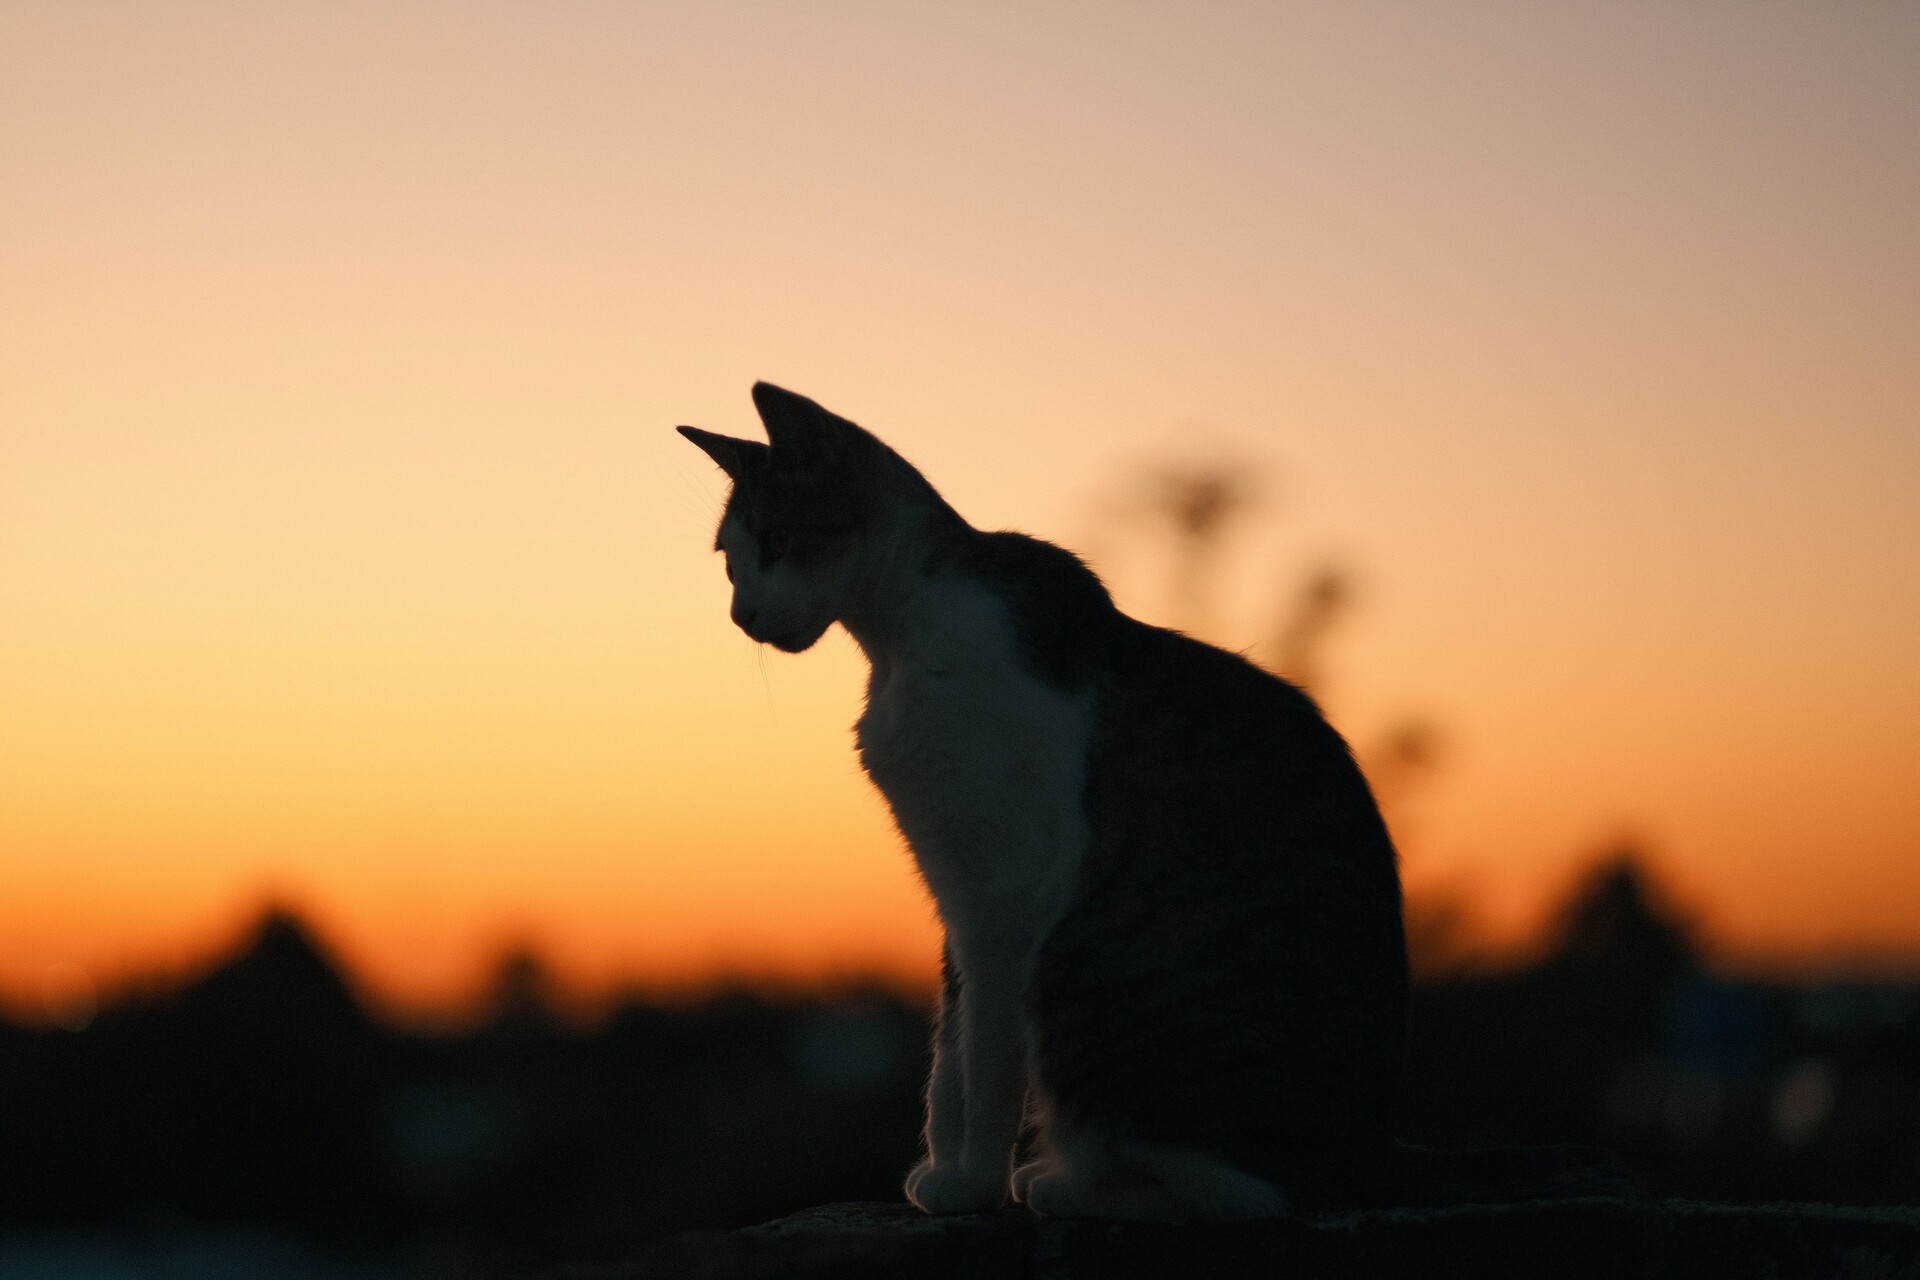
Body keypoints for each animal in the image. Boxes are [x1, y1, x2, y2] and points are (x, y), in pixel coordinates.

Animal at [675, 379, 1620, 1220]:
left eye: (778, 539)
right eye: (728, 558)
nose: (741, 615)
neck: (901, 635)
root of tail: (1369, 1143)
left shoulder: (1002, 893)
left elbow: (984, 1059)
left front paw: (971, 1183)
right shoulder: (954, 882)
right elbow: (949, 1048)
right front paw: (944, 1169)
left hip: (1076, 971)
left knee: (1255, 1193)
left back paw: (1071, 1187)